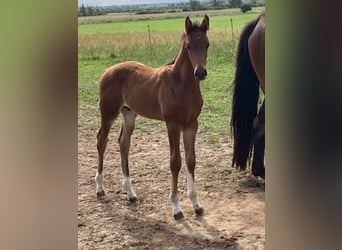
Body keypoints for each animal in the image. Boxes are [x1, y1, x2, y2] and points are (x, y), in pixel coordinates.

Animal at [95, 15, 210, 220]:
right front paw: (176, 209)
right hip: (108, 112)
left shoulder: (191, 124)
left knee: (123, 143)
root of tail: (107, 71)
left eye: (207, 44)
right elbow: (175, 162)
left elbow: (191, 160)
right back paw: (100, 189)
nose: (200, 72)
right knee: (102, 141)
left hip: (129, 113)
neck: (181, 84)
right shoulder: (172, 124)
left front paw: (196, 205)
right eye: (189, 46)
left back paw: (131, 194)